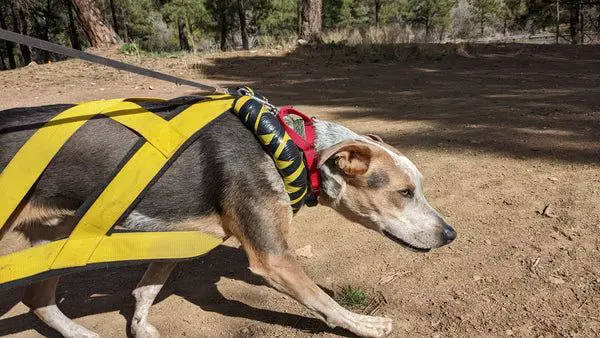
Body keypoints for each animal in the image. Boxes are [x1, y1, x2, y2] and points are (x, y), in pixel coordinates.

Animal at [1, 95, 454, 338]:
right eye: (404, 193)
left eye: (420, 187)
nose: (450, 234)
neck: (289, 147)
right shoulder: (272, 258)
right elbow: (323, 300)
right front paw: (365, 324)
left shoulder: (175, 241)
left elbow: (145, 291)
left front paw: (140, 327)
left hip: (57, 236)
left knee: (38, 300)